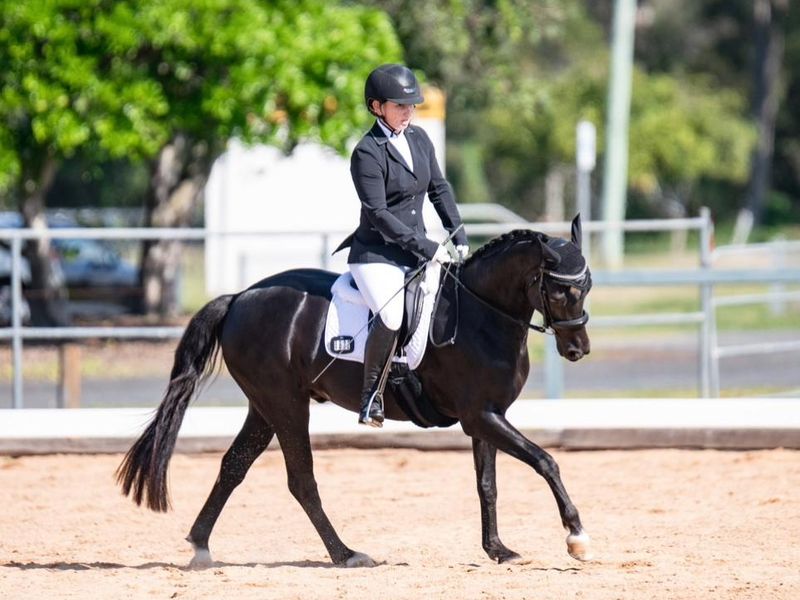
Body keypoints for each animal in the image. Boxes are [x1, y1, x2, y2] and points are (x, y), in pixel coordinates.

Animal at [117, 214, 593, 568]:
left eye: (586, 286)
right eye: (559, 289)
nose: (578, 349)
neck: (480, 314)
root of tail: (238, 297)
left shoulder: (487, 416)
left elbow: (488, 484)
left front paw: (498, 550)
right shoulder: (481, 415)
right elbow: (545, 461)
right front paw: (576, 535)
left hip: (264, 406)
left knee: (234, 466)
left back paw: (200, 546)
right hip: (287, 405)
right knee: (301, 480)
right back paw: (345, 554)